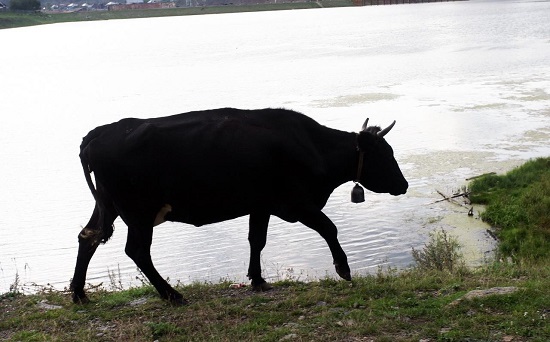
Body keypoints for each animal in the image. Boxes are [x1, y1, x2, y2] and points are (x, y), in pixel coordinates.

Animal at [70, 107, 410, 304]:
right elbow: (329, 227)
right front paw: (344, 269)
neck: (311, 146)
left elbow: (256, 240)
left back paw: (79, 294)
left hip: (109, 206)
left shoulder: (261, 204)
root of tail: (99, 133)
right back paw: (172, 295)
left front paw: (257, 280)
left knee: (88, 237)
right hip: (138, 212)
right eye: (385, 154)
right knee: (137, 251)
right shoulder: (295, 202)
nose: (404, 185)